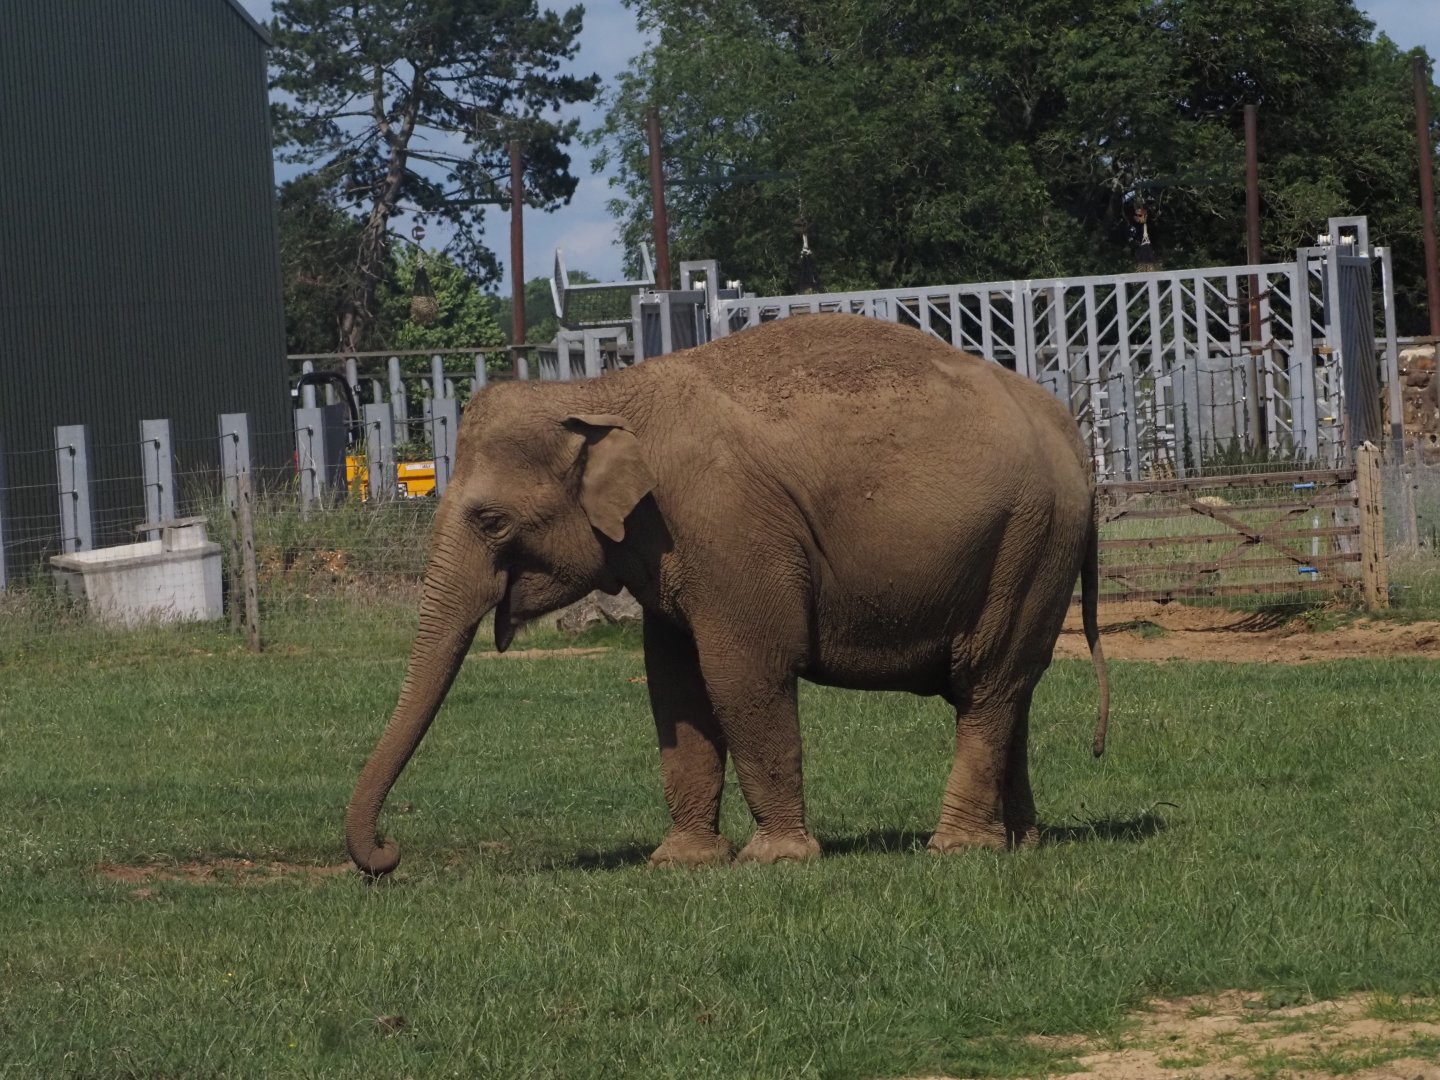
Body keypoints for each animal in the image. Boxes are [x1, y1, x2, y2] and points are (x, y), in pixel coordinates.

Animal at [345, 313, 1109, 875]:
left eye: (491, 521)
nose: (387, 856)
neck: (604, 391)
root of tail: (1074, 438)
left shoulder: (726, 526)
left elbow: (744, 671)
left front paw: (776, 861)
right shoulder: (671, 548)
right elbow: (673, 683)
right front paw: (681, 862)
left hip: (1028, 541)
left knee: (987, 684)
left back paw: (956, 850)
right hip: (1030, 550)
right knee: (1010, 692)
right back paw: (1021, 842)